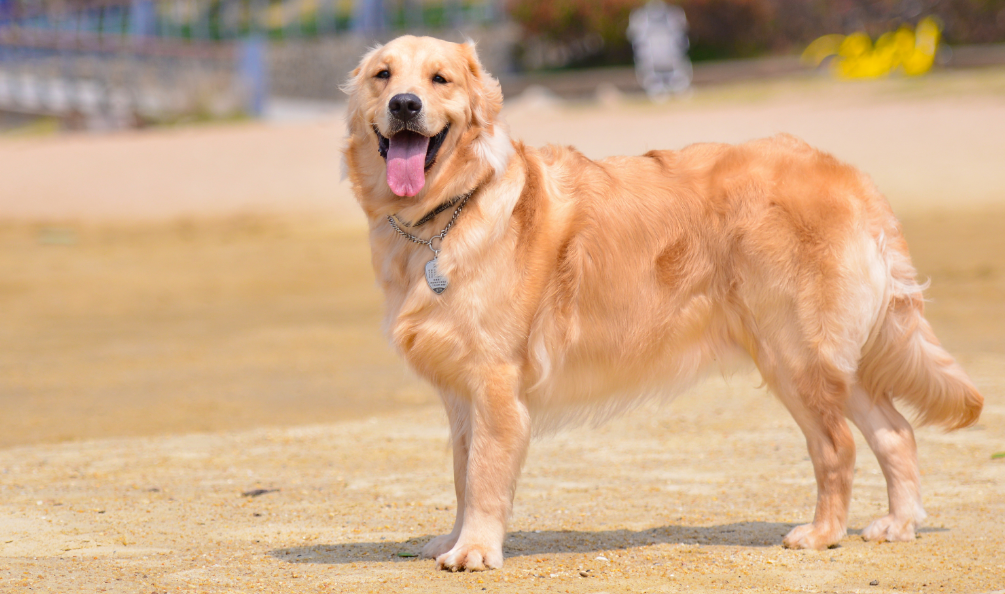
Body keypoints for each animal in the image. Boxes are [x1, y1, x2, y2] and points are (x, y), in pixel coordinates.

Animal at [341, 33, 984, 570]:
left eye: (440, 79)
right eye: (382, 74)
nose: (404, 105)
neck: (449, 213)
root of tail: (849, 175)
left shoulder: (495, 384)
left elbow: (483, 476)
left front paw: (475, 549)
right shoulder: (461, 395)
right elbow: (460, 472)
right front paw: (454, 539)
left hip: (795, 356)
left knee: (837, 447)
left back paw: (823, 532)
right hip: (833, 360)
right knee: (895, 432)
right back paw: (898, 523)